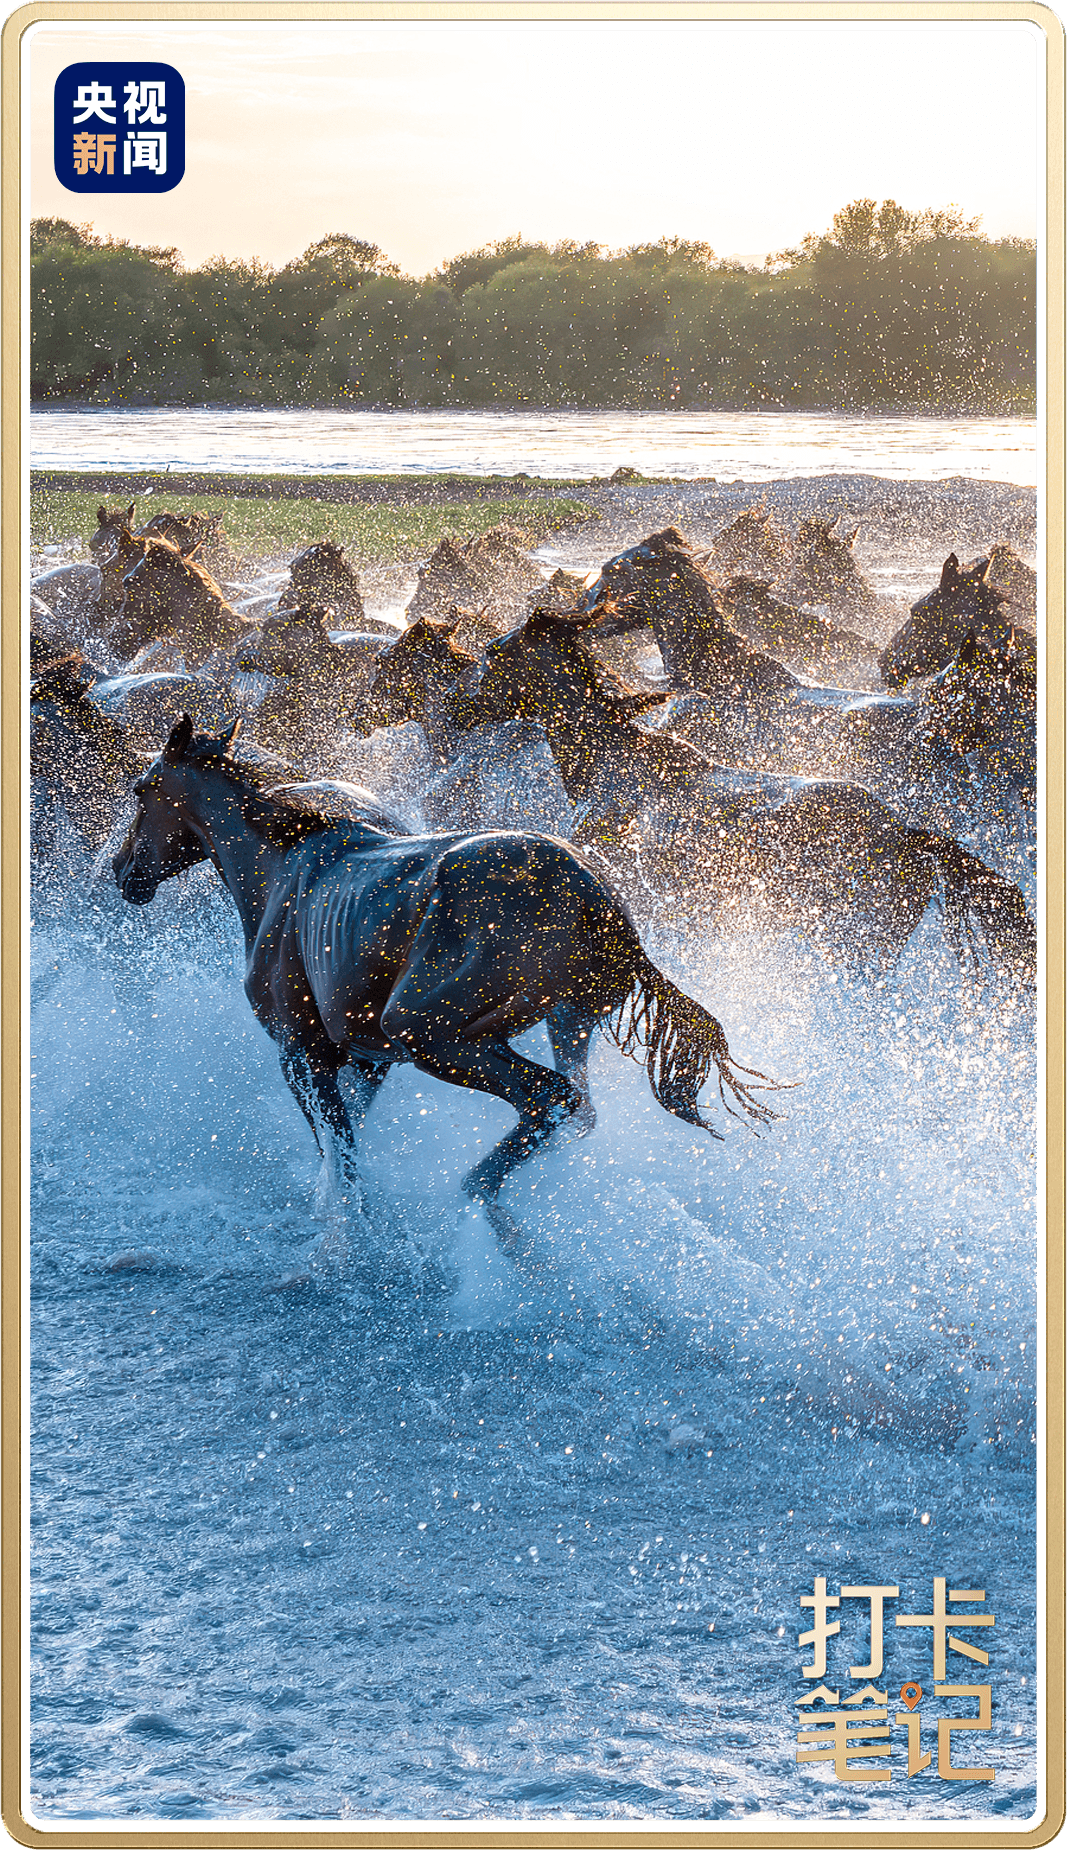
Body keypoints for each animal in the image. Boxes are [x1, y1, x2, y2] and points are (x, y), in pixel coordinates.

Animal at [112, 716, 777, 1266]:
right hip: (564, 1023)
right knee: (578, 1110)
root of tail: (590, 894)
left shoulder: (301, 1055)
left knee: (549, 1099)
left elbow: (339, 1154)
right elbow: (345, 1145)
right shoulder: (367, 1061)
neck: (285, 874)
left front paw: (340, 1237)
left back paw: (478, 1205)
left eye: (143, 791)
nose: (123, 873)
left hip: (434, 1037)